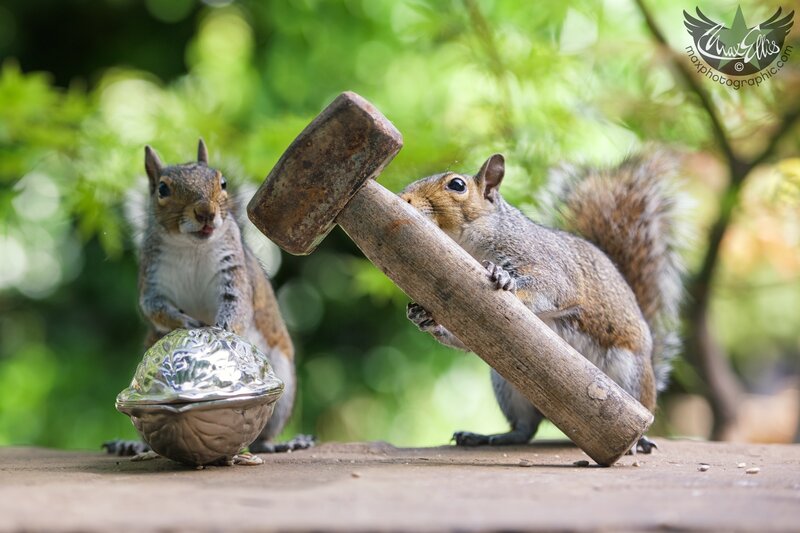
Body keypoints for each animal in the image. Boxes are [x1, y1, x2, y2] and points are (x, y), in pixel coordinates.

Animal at [104, 140, 312, 456]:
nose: (205, 211)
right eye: (162, 189)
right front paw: (185, 323)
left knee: (262, 435)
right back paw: (133, 445)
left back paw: (279, 444)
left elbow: (237, 306)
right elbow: (153, 308)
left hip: (282, 379)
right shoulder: (151, 280)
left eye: (222, 182)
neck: (192, 247)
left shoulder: (234, 271)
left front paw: (219, 329)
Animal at [400, 152, 684, 453]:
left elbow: (554, 287)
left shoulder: (549, 266)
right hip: (508, 383)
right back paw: (488, 437)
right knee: (525, 428)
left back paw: (639, 441)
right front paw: (424, 317)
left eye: (456, 185)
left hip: (630, 376)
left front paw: (506, 279)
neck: (470, 245)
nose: (404, 197)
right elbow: (466, 337)